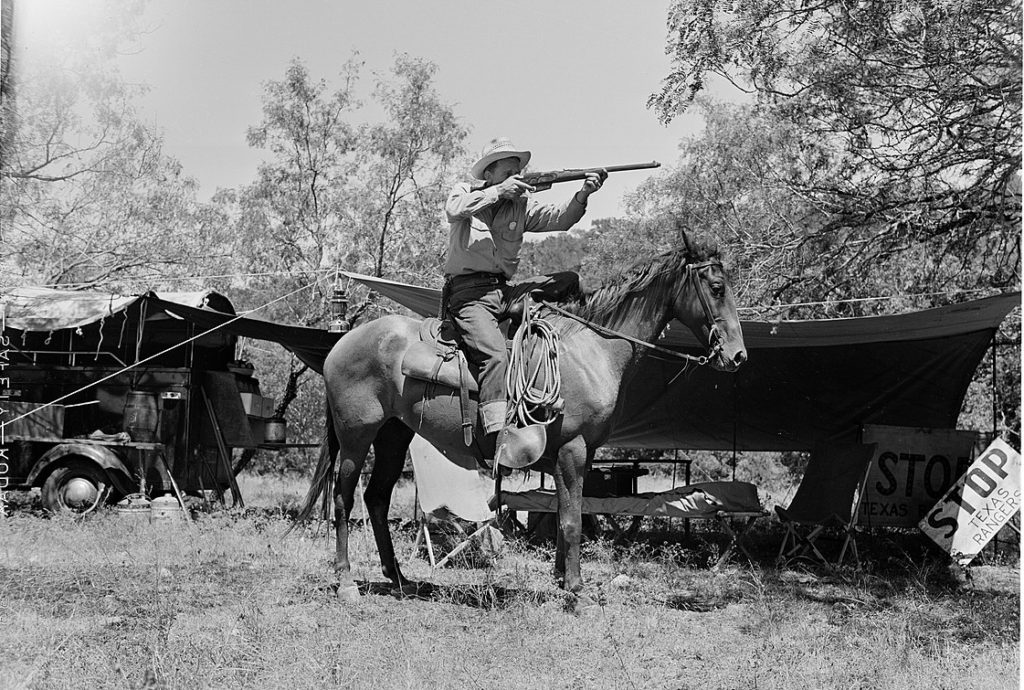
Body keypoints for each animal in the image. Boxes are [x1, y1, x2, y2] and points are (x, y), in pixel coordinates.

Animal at [296, 232, 745, 606]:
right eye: (717, 288)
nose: (737, 356)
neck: (591, 350)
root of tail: (343, 342)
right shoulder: (572, 450)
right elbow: (571, 521)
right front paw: (576, 592)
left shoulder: (580, 455)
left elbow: (567, 514)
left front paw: (562, 580)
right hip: (356, 435)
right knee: (344, 498)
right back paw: (347, 582)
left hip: (393, 434)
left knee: (376, 497)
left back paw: (400, 578)